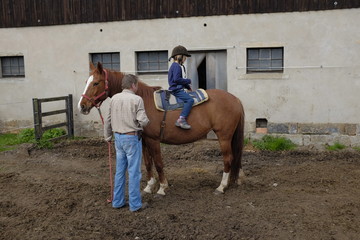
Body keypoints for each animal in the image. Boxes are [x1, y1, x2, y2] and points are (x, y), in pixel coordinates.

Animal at [79, 63, 246, 195]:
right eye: (86, 81)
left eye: (96, 83)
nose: (82, 106)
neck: (142, 100)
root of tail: (235, 99)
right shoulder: (143, 140)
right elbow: (147, 163)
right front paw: (149, 187)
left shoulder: (153, 140)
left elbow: (158, 163)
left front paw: (162, 188)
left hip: (224, 136)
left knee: (228, 158)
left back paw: (221, 186)